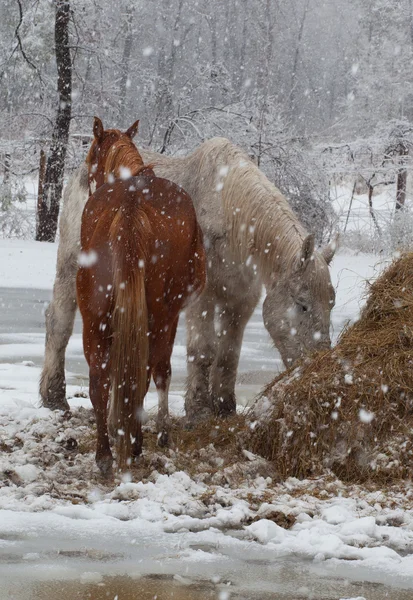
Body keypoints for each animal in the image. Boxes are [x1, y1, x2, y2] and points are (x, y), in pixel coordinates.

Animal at [40, 137, 334, 422]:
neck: (231, 217)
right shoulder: (203, 299)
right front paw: (199, 410)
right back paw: (54, 398)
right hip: (74, 268)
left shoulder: (240, 302)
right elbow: (203, 350)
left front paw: (225, 407)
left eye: (330, 304)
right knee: (59, 322)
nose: (318, 365)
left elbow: (228, 355)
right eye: (302, 305)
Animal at [76, 116, 205, 474]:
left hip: (93, 315)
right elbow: (162, 372)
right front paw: (161, 432)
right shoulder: (172, 316)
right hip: (159, 314)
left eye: (90, 161)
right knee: (145, 374)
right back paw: (133, 444)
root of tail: (131, 206)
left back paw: (105, 454)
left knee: (99, 379)